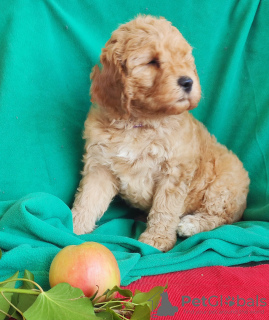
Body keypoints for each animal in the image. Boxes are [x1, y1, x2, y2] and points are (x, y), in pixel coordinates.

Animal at [71, 15, 249, 252]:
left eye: (184, 60)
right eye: (152, 62)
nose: (188, 81)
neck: (139, 123)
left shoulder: (174, 172)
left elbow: (165, 208)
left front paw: (157, 239)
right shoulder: (100, 165)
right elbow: (88, 198)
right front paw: (73, 225)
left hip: (223, 185)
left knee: (223, 219)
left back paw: (191, 224)